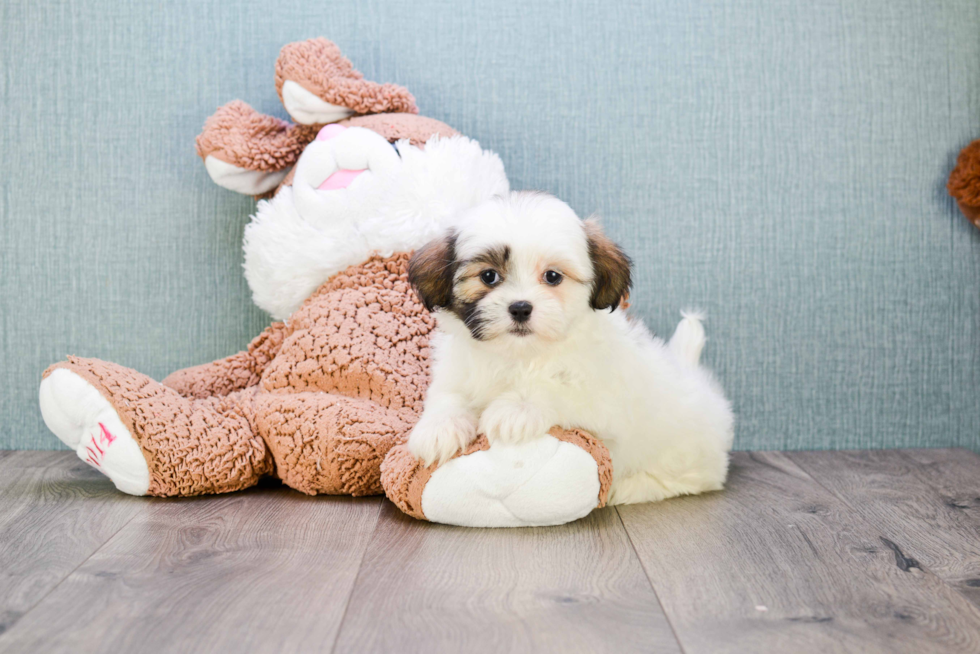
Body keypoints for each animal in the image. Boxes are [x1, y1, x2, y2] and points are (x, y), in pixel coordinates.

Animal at [402, 191, 732, 508]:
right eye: (488, 276)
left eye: (552, 276)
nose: (520, 307)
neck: (520, 356)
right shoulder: (456, 371)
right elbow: (448, 395)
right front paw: (439, 428)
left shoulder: (604, 399)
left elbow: (559, 389)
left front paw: (516, 409)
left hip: (683, 457)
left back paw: (629, 488)